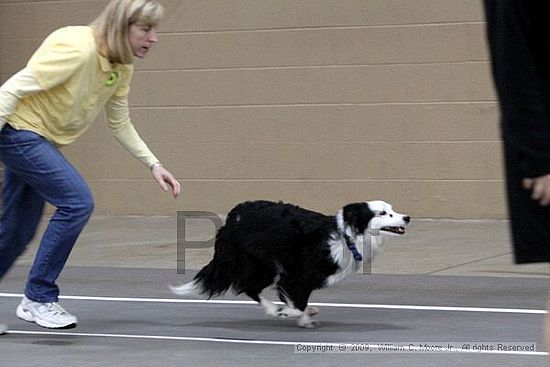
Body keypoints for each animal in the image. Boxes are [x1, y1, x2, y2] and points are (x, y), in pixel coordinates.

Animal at [172, 201, 410, 328]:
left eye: (392, 209)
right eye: (382, 213)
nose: (407, 217)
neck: (347, 236)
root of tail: (232, 218)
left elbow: (299, 299)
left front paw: (304, 317)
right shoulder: (298, 275)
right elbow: (296, 300)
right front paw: (291, 313)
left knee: (251, 288)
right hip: (259, 263)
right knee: (248, 287)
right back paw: (274, 310)